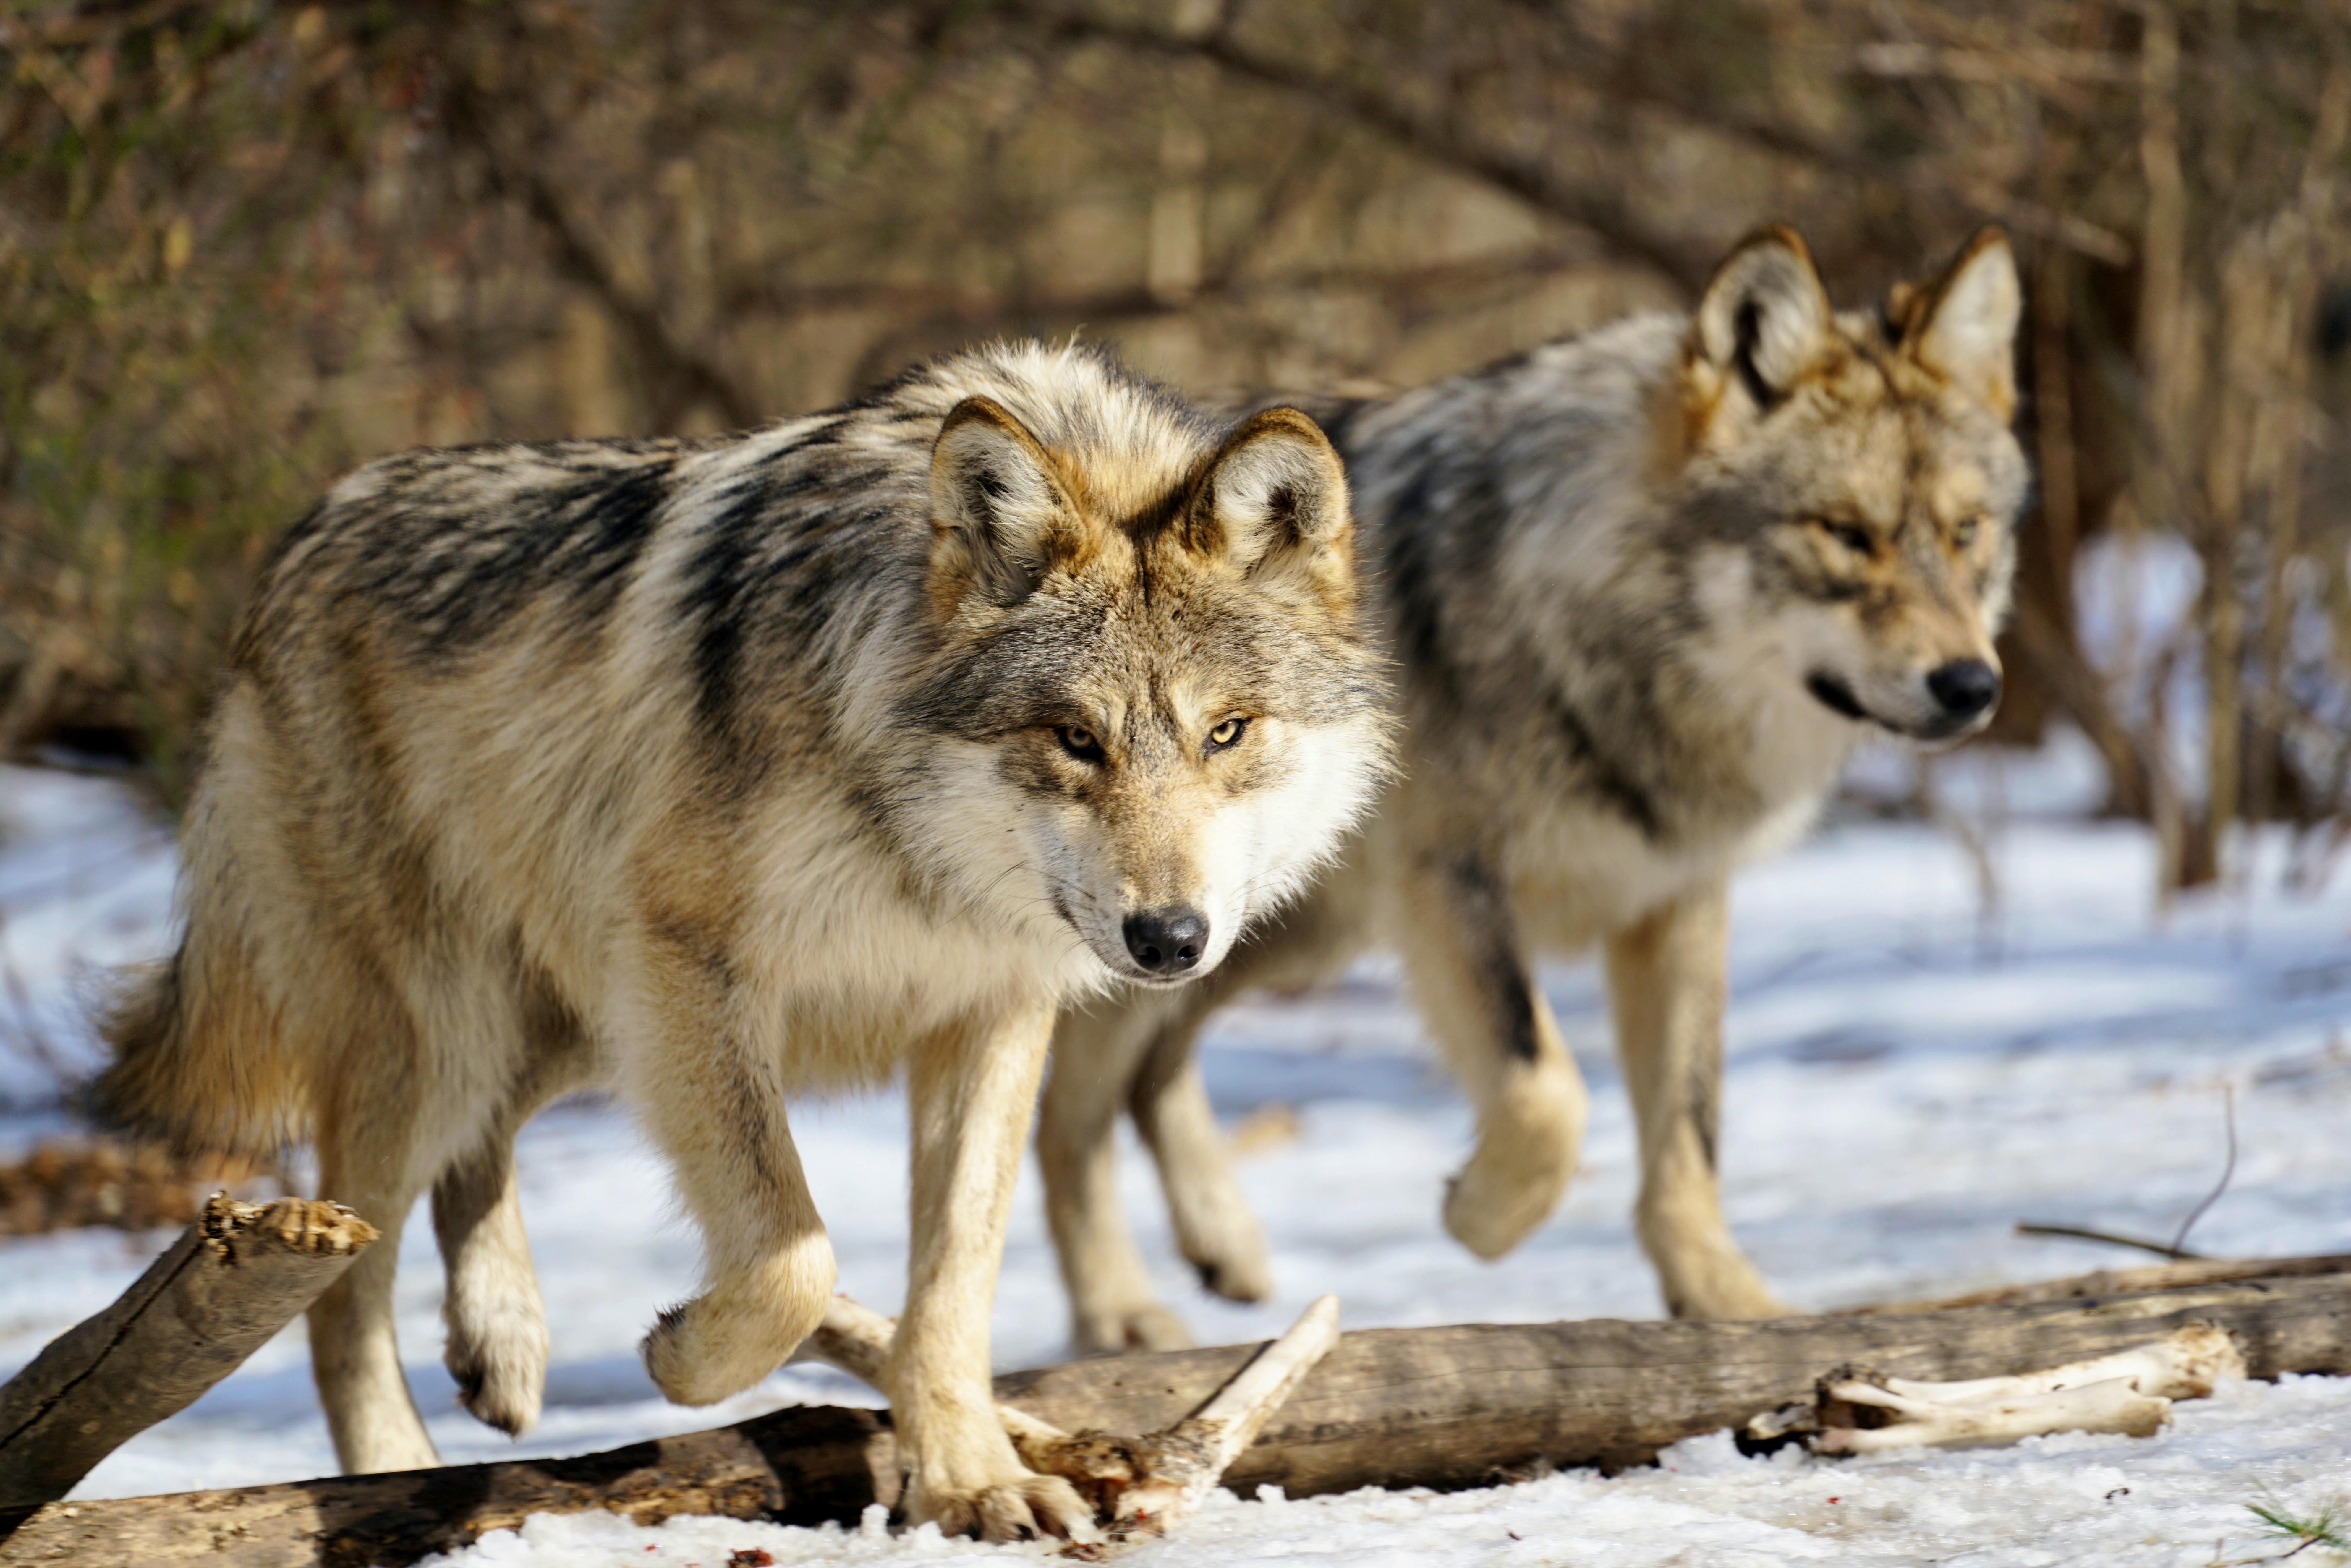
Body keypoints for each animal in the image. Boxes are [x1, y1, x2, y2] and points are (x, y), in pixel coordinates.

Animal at [92, 341, 1391, 1539]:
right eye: (1075, 737)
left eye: (1227, 731)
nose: (1169, 938)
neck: (911, 838)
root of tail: (307, 530)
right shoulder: (692, 969)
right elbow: (787, 1254)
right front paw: (683, 1357)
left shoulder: (985, 1015)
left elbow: (953, 1283)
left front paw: (971, 1480)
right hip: (453, 1025)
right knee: (344, 1282)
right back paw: (396, 1466)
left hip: (573, 1014)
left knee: (476, 1156)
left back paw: (503, 1346)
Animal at [1038, 228, 2027, 1353]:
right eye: (1844, 533)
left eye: (1965, 531)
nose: (1971, 685)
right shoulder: (1448, 886)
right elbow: (1547, 1088)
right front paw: (1477, 1214)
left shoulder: (1675, 901)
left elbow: (1689, 1130)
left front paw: (1729, 1310)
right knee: (1068, 1113)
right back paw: (1118, 1314)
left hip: (1265, 930)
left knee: (1151, 1073)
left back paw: (1224, 1247)